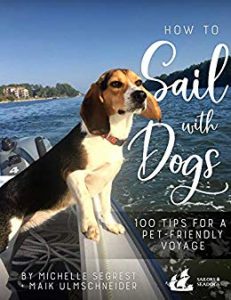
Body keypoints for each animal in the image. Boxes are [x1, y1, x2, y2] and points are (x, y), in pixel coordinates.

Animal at [0, 68, 161, 251]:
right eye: (115, 83)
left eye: (138, 82)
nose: (141, 95)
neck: (106, 137)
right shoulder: (72, 173)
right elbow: (85, 198)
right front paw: (90, 226)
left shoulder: (106, 181)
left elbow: (106, 207)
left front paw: (110, 225)